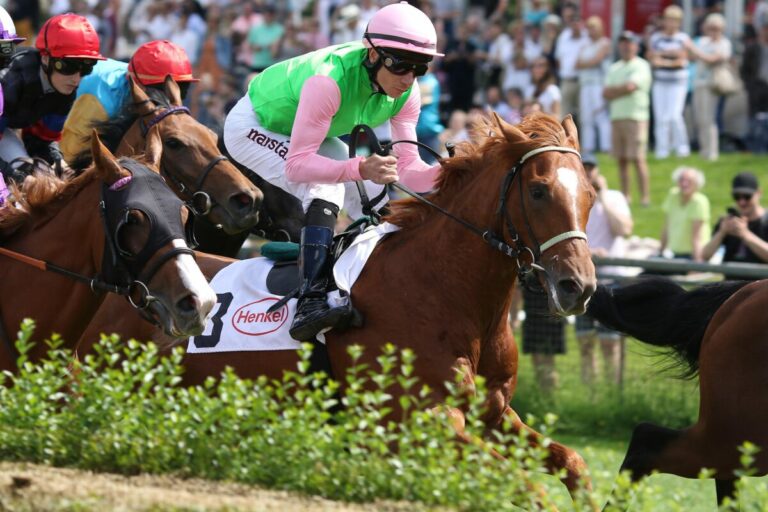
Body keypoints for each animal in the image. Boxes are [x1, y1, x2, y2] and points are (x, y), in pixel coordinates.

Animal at [77, 113, 598, 505]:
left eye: (589, 195)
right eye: (538, 191)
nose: (578, 285)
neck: (446, 291)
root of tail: (127, 283)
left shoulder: (495, 414)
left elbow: (575, 464)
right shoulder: (425, 425)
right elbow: (528, 489)